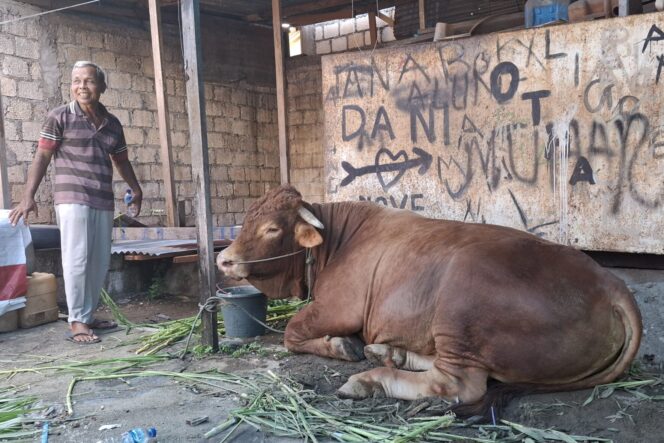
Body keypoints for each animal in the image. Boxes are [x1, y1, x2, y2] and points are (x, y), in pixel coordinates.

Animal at [215, 186, 640, 414]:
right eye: (246, 220)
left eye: (272, 228)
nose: (224, 259)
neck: (334, 243)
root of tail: (609, 282)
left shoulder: (340, 307)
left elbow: (292, 330)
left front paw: (339, 345)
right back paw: (388, 352)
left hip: (460, 307)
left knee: (457, 384)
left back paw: (370, 379)